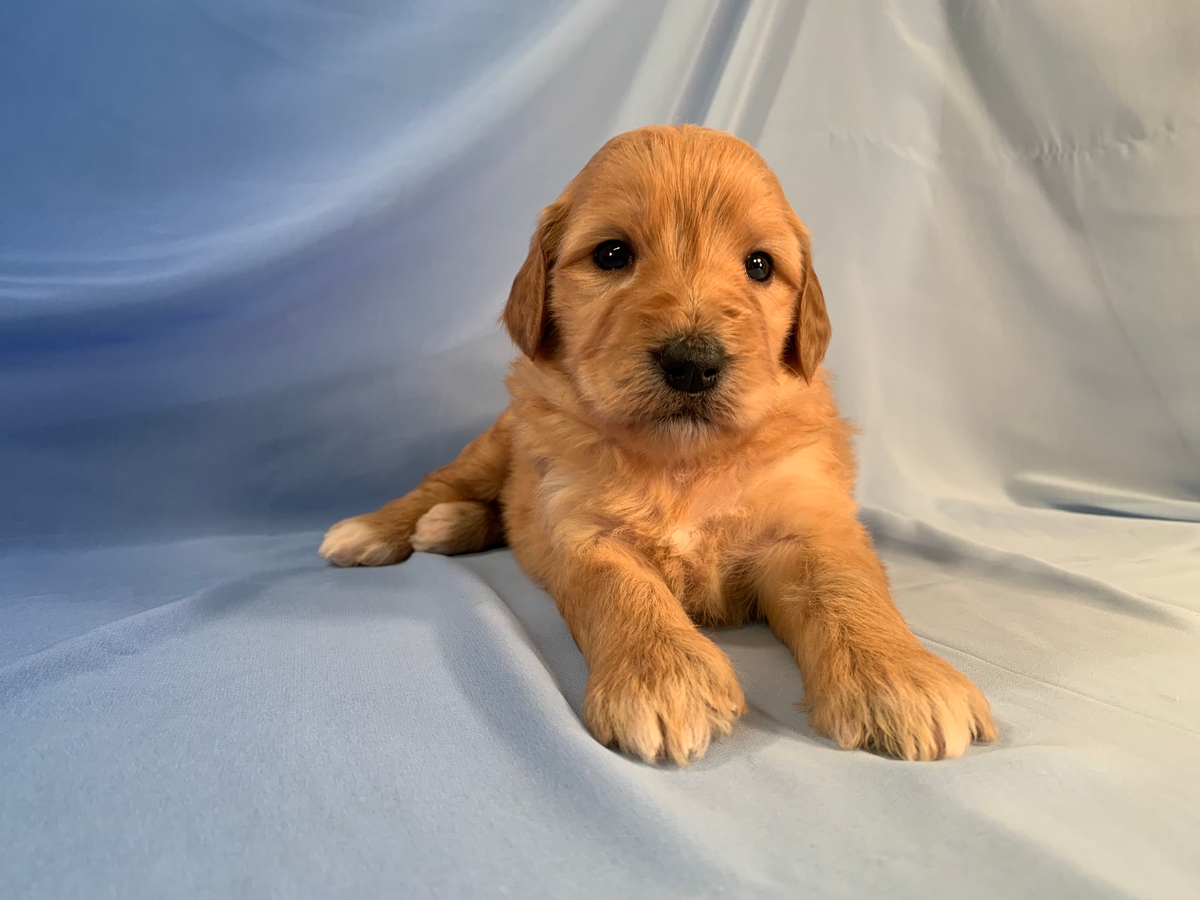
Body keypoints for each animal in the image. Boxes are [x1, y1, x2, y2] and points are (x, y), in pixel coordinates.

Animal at [316, 123, 993, 763]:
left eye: (759, 266)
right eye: (613, 253)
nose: (692, 363)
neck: (682, 462)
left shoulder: (809, 519)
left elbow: (847, 588)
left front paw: (900, 678)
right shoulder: (582, 523)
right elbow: (621, 589)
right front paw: (662, 677)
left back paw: (449, 526)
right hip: (498, 442)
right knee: (444, 485)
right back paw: (380, 529)